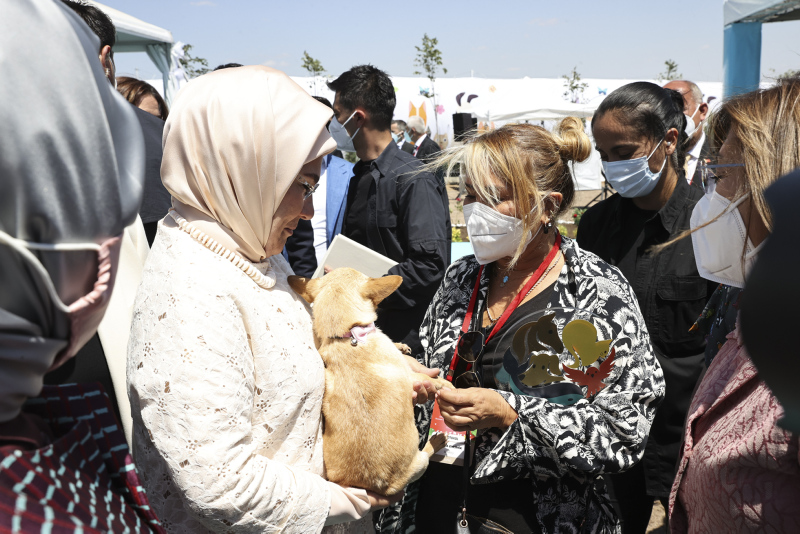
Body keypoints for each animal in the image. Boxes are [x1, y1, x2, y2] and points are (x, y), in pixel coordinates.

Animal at [288, 268, 450, 498]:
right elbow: (436, 381)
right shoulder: (411, 376)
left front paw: (400, 344)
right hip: (419, 464)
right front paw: (453, 387)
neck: (347, 336)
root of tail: (376, 485)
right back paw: (435, 443)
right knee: (425, 456)